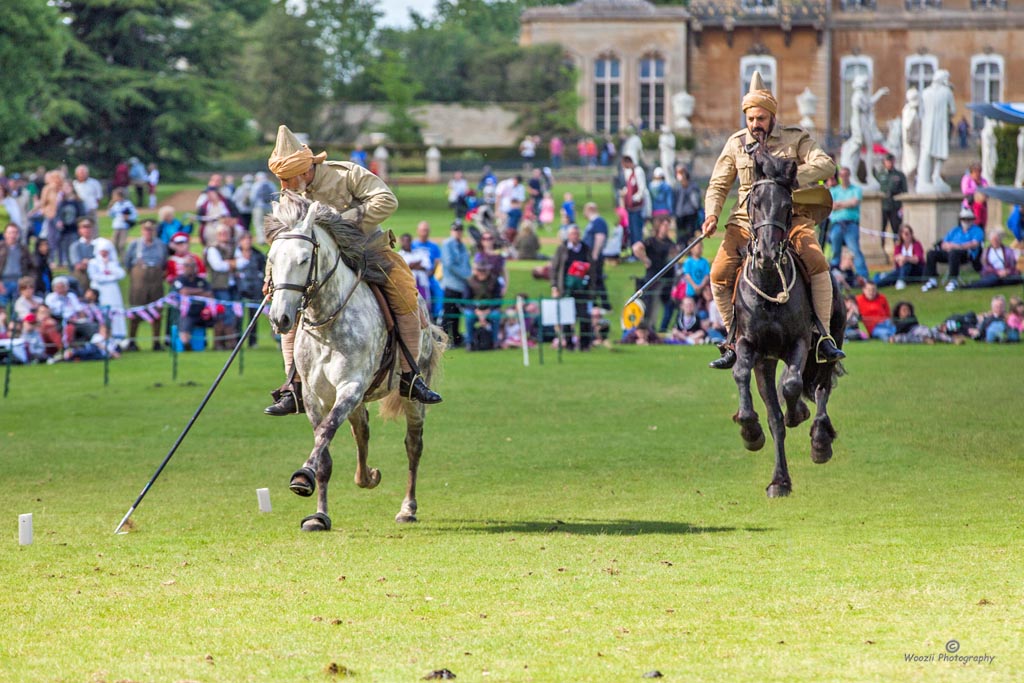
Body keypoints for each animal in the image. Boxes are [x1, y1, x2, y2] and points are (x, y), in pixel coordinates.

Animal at [264, 194, 444, 532]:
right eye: (272, 258)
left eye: (304, 259)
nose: (280, 318)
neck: (327, 323)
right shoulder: (315, 397)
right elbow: (324, 452)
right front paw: (319, 515)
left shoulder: (351, 386)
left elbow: (326, 432)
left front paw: (302, 476)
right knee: (362, 431)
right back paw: (367, 477)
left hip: (410, 397)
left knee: (413, 445)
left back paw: (407, 508)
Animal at [733, 148, 843, 497]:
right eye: (755, 202)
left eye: (786, 205)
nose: (767, 254)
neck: (769, 284)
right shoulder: (750, 346)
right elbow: (743, 375)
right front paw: (749, 428)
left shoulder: (801, 342)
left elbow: (794, 384)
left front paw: (799, 413)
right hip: (767, 362)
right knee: (776, 417)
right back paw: (779, 479)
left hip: (829, 344)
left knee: (821, 387)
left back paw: (820, 440)